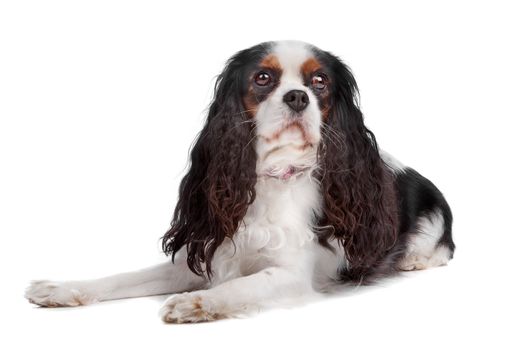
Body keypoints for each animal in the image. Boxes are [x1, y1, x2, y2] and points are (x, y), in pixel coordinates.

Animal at [24, 40, 452, 322]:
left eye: (319, 82)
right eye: (263, 78)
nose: (297, 96)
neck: (274, 176)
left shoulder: (292, 275)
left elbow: (243, 285)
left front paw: (197, 303)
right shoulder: (206, 255)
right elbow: (122, 278)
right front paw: (61, 289)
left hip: (434, 218)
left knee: (442, 248)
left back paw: (414, 259)